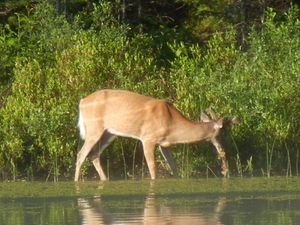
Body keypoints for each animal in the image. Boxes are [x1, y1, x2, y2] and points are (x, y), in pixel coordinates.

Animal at [75, 89, 239, 181]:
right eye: (222, 133)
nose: (224, 151)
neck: (172, 123)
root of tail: (81, 102)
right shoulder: (148, 138)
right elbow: (153, 169)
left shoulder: (164, 144)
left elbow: (174, 167)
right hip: (94, 129)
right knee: (81, 154)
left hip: (109, 133)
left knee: (93, 154)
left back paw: (105, 180)